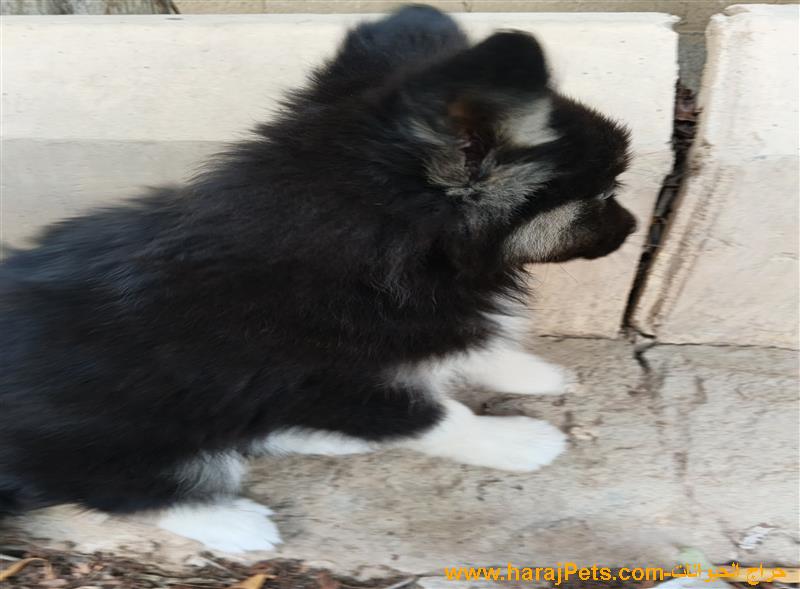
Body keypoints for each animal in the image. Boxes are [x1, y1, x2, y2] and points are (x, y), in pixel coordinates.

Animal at [0, 5, 635, 552]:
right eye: (603, 196)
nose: (632, 227)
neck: (370, 256)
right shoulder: (326, 385)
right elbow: (436, 418)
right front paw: (513, 441)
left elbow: (475, 349)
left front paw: (534, 373)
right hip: (118, 440)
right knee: (126, 490)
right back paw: (232, 522)